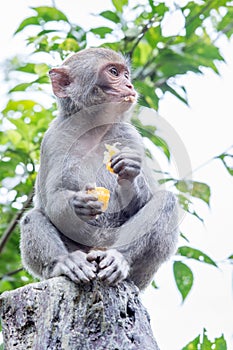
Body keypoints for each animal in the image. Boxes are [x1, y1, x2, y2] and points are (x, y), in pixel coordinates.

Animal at [20, 47, 177, 292]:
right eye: (113, 72)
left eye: (126, 74)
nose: (129, 85)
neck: (93, 129)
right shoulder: (54, 140)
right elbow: (51, 201)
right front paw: (78, 204)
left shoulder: (130, 137)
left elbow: (143, 200)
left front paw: (129, 173)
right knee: (32, 217)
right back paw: (66, 262)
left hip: (136, 271)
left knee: (166, 201)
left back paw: (118, 259)